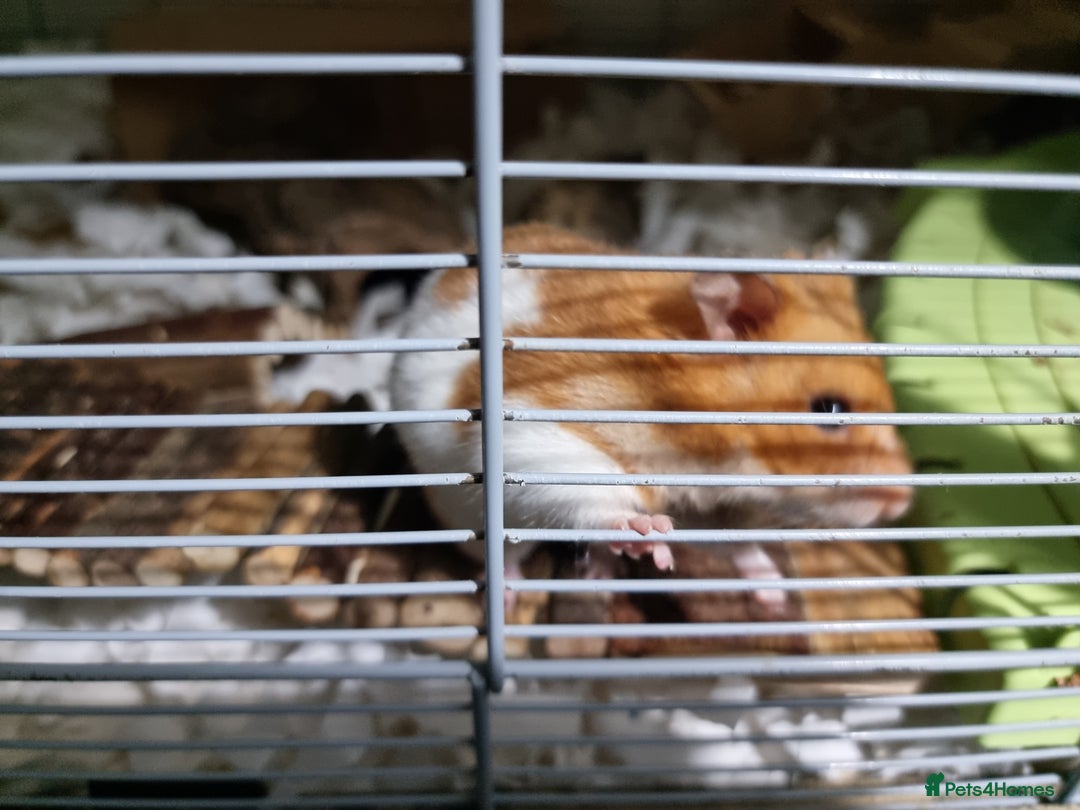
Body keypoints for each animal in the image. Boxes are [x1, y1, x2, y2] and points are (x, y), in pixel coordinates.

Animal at [389, 223, 912, 606]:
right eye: (830, 409)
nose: (903, 501)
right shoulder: (544, 438)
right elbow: (597, 499)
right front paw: (651, 540)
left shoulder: (715, 507)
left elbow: (740, 544)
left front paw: (773, 594)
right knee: (498, 553)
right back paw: (510, 596)